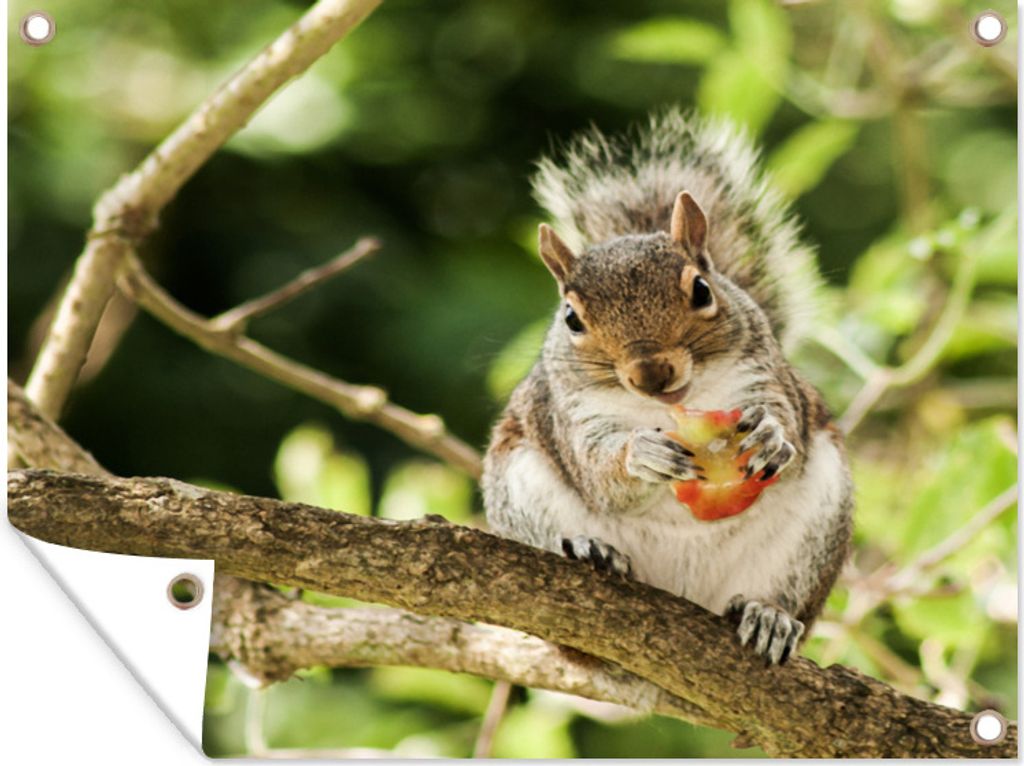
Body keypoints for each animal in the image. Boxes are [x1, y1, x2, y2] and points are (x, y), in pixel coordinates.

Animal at [482, 108, 853, 665]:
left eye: (702, 289)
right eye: (571, 318)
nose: (652, 374)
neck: (675, 407)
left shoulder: (764, 375)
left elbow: (784, 423)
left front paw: (770, 437)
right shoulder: (571, 414)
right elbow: (598, 471)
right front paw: (642, 454)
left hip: (815, 532)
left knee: (779, 592)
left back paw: (768, 616)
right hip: (521, 495)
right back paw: (591, 551)